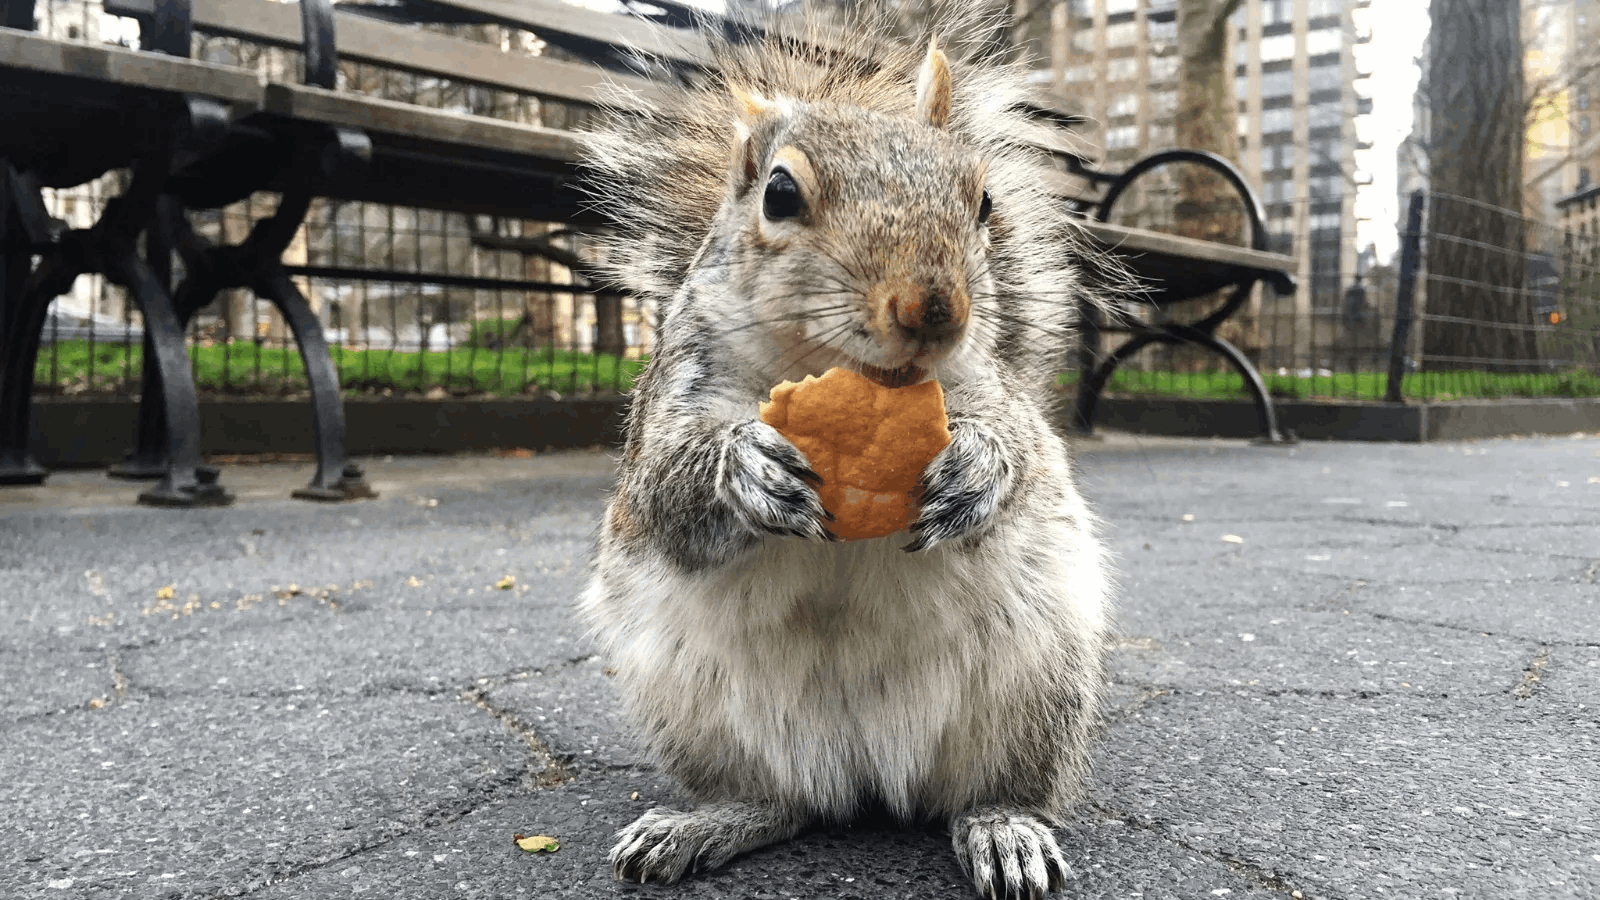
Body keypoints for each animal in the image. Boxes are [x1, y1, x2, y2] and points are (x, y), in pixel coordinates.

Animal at [578, 6, 1115, 898]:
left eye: (984, 200)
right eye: (780, 194)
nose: (934, 307)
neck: (827, 367)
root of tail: (866, 772)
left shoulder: (995, 390)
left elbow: (1025, 453)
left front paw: (975, 469)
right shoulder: (672, 395)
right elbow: (662, 494)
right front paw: (745, 470)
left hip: (1037, 690)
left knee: (992, 790)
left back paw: (1005, 828)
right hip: (692, 709)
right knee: (782, 803)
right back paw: (706, 822)